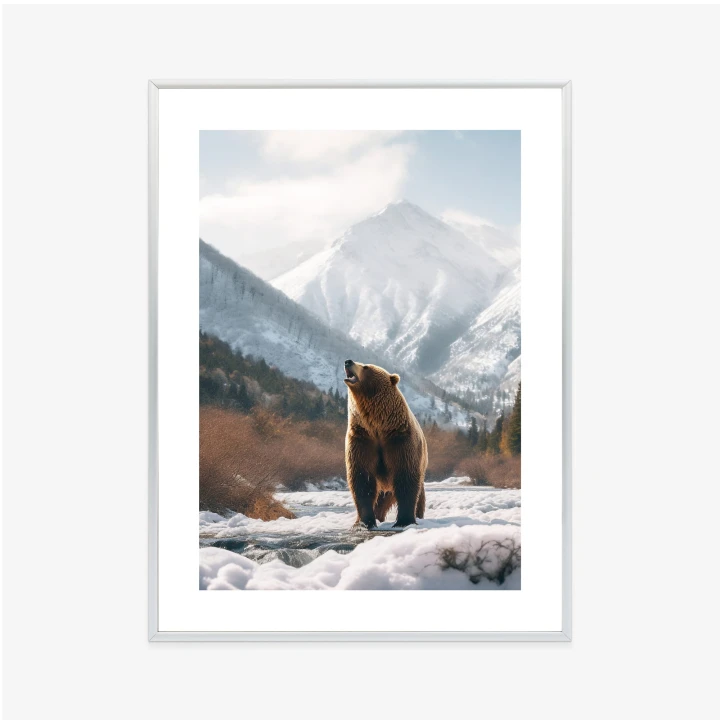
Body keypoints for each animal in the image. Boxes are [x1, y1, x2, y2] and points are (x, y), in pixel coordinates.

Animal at [343, 359, 428, 529]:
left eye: (365, 367)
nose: (348, 361)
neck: (378, 427)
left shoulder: (399, 440)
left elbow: (406, 478)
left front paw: (404, 521)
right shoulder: (362, 439)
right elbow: (362, 478)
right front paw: (364, 522)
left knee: (419, 496)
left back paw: (418, 515)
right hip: (384, 487)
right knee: (380, 499)